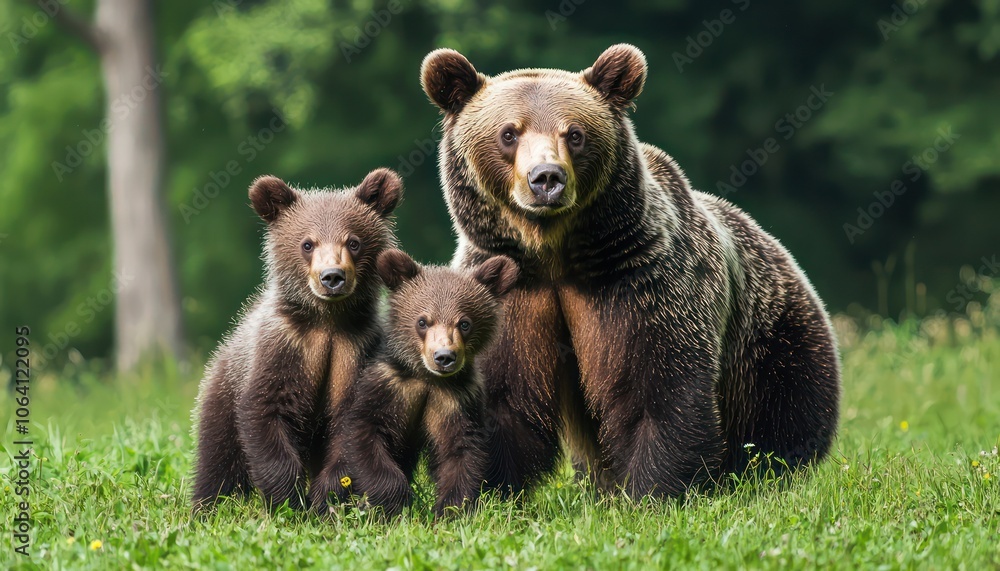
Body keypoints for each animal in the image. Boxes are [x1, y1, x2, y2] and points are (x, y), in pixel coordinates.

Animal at [191, 169, 403, 511]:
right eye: (307, 243)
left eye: (353, 242)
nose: (332, 277)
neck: (327, 321)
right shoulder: (284, 347)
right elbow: (267, 410)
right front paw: (288, 497)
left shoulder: (356, 350)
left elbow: (351, 422)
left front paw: (326, 496)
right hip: (222, 392)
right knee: (218, 456)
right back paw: (209, 505)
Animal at [326, 249, 518, 517]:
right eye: (423, 321)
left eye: (464, 323)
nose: (444, 357)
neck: (429, 380)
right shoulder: (389, 385)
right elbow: (364, 431)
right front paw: (396, 497)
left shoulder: (457, 399)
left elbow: (461, 451)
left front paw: (450, 509)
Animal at [418, 44, 841, 497]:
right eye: (509, 133)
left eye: (575, 134)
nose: (546, 178)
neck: (553, 254)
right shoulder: (511, 294)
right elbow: (500, 396)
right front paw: (487, 492)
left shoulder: (641, 284)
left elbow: (657, 389)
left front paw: (652, 491)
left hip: (772, 341)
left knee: (783, 412)